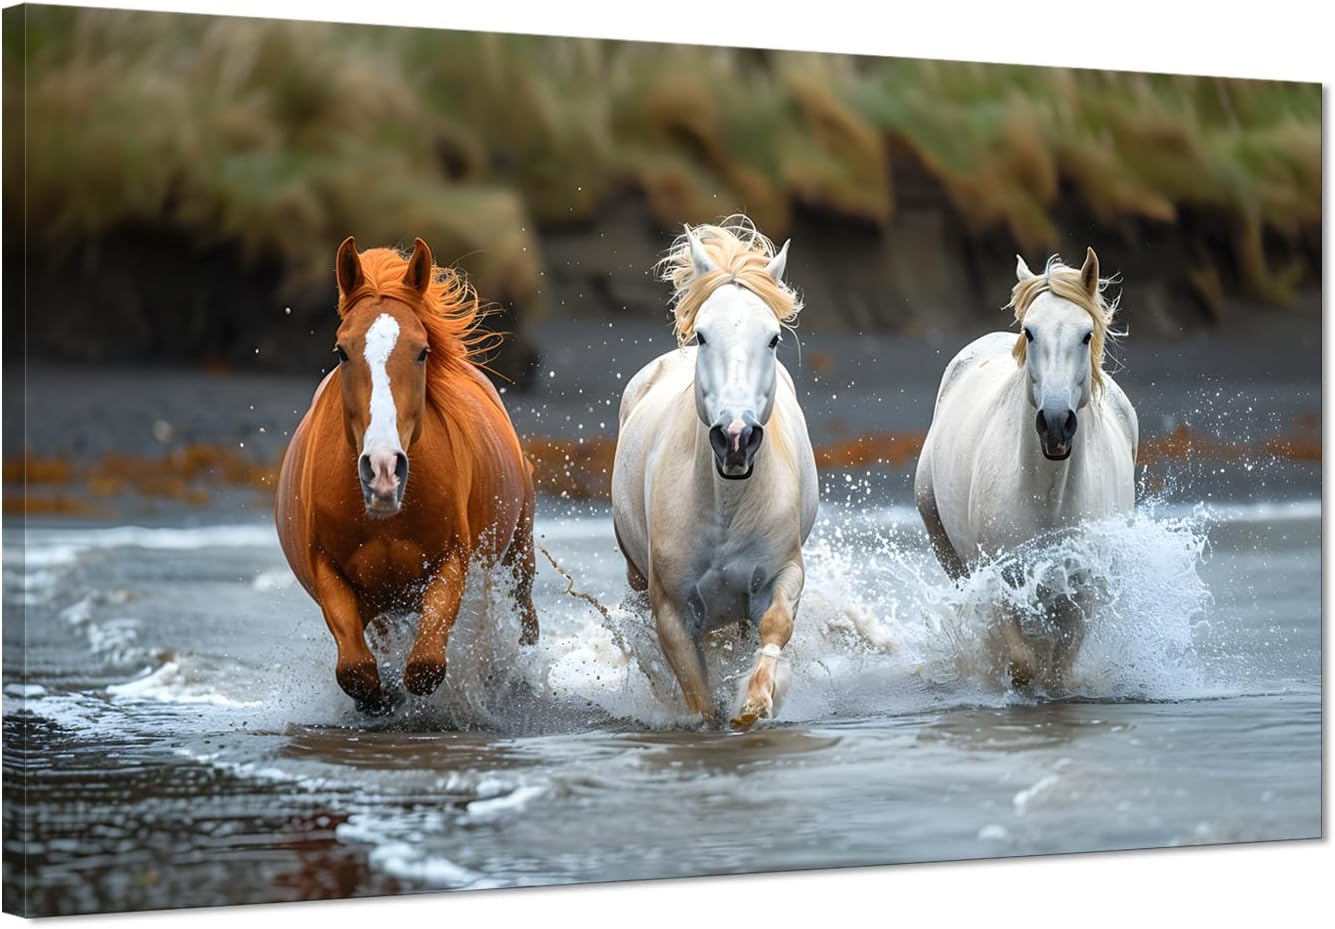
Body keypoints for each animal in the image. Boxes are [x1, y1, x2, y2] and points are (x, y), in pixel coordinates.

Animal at [274, 236, 539, 714]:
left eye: (421, 350)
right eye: (341, 350)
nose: (383, 470)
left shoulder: (451, 563)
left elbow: (427, 664)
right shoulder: (330, 572)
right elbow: (357, 669)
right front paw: (378, 700)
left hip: (518, 551)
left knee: (525, 613)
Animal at [610, 215, 819, 729]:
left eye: (773, 338)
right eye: (704, 334)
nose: (736, 435)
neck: (727, 505)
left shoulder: (783, 572)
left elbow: (776, 623)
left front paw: (754, 705)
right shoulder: (671, 610)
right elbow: (698, 699)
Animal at [914, 248, 1138, 691]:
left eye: (1086, 335)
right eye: (1030, 332)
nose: (1055, 424)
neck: (1047, 497)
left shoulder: (1080, 591)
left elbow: (1057, 671)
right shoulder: (999, 581)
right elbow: (1022, 664)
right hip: (947, 549)